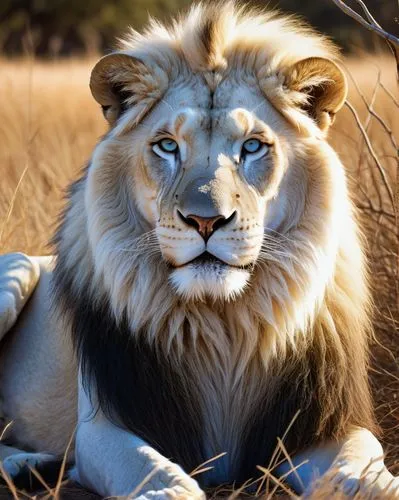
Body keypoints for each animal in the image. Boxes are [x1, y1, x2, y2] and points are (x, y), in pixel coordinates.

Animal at [0, 1, 399, 498]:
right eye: (168, 146)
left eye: (253, 146)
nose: (206, 220)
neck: (222, 325)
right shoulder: (103, 425)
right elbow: (163, 476)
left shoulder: (325, 421)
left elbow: (361, 470)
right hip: (15, 269)